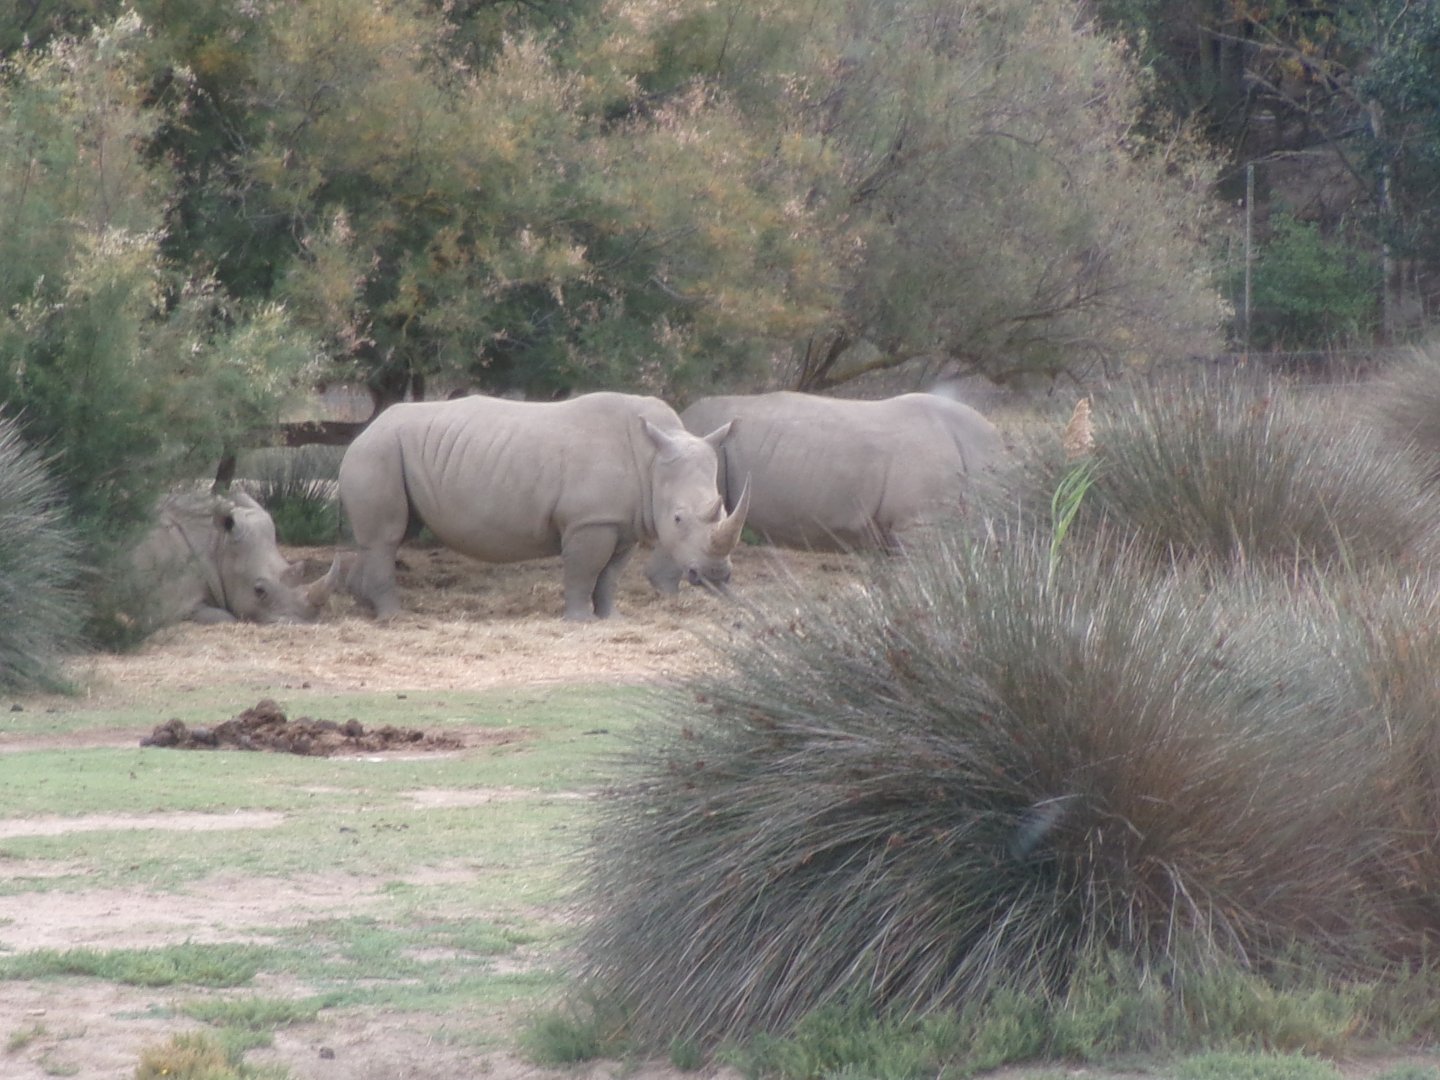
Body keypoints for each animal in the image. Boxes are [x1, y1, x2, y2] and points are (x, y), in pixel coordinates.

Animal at [321, 391, 749, 621]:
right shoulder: (589, 521)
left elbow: (610, 574)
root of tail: (364, 431)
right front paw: (579, 620)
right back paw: (394, 615)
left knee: (387, 535)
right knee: (387, 537)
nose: (716, 574)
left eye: (722, 511)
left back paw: (366, 607)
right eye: (677, 518)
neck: (651, 460)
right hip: (377, 452)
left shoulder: (623, 521)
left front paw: (610, 617)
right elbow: (584, 569)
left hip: (389, 451)